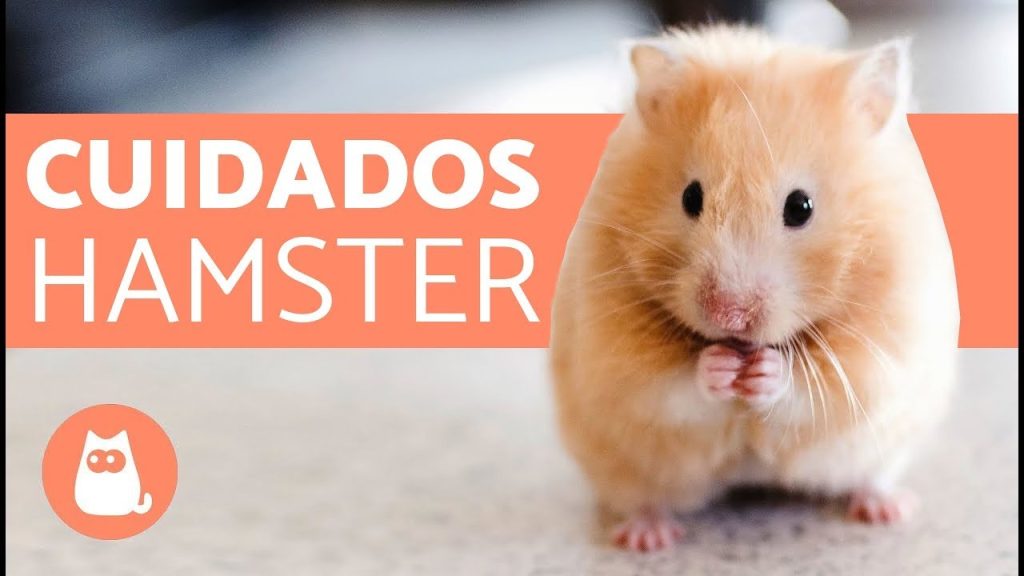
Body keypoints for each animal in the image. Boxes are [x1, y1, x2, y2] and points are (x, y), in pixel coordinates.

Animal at [550, 25, 959, 552]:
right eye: (691, 197)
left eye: (801, 207)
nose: (729, 315)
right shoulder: (614, 355)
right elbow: (668, 386)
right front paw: (720, 367)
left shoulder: (880, 352)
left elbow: (814, 387)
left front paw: (764, 371)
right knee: (642, 497)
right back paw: (647, 537)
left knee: (871, 476)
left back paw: (887, 509)